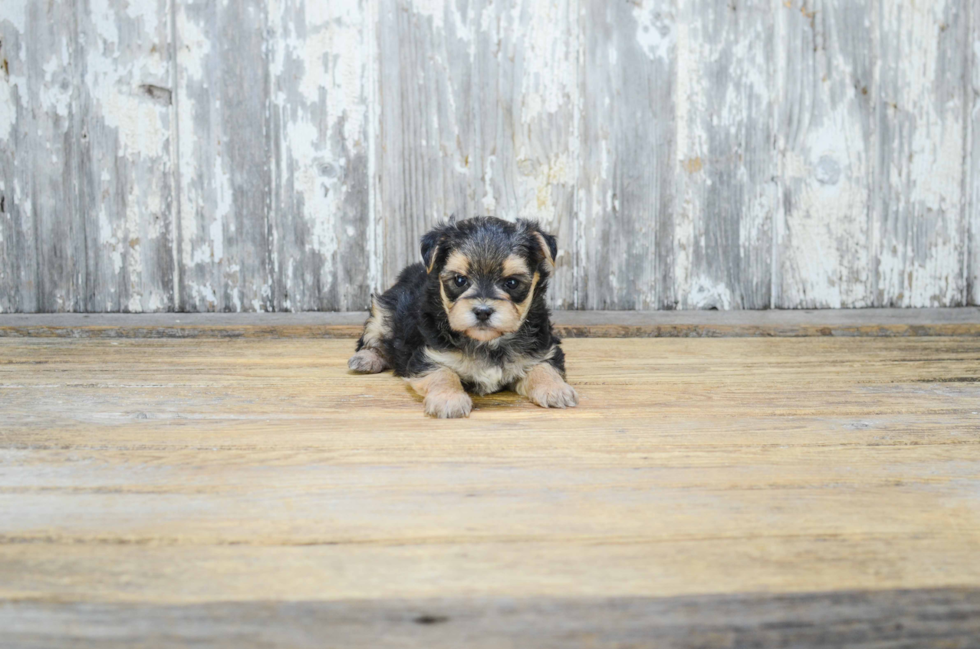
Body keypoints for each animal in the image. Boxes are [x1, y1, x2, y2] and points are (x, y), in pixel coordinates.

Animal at [348, 215, 580, 418]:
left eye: (512, 283)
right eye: (460, 280)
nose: (483, 311)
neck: (488, 342)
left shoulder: (543, 349)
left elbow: (544, 366)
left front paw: (555, 389)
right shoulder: (429, 354)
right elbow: (442, 373)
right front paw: (448, 399)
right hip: (383, 308)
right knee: (372, 337)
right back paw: (366, 359)